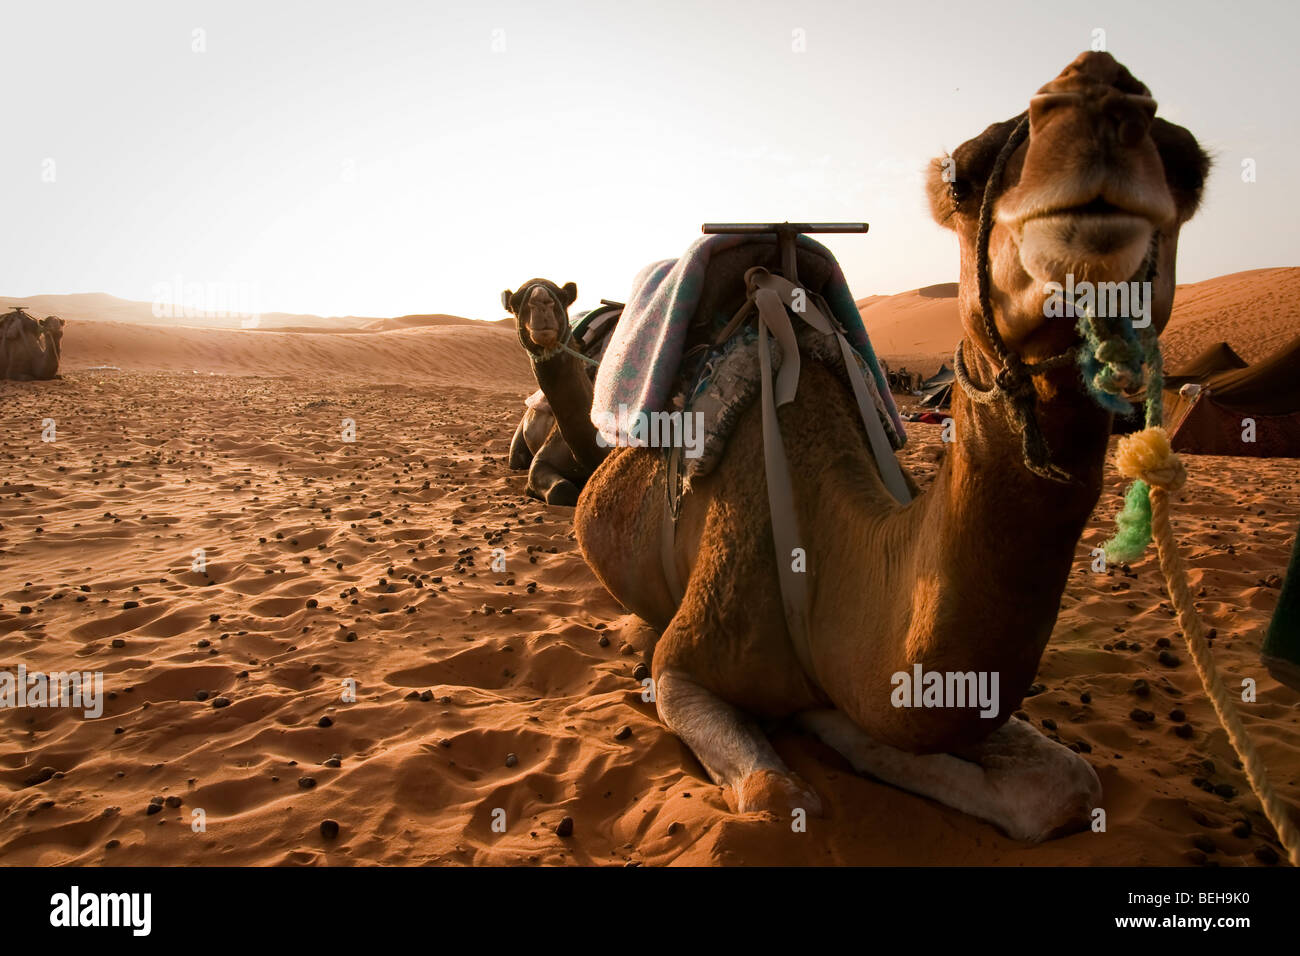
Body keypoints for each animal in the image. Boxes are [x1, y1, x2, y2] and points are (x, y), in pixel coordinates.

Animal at [569, 54, 1206, 842]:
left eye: (1189, 168)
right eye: (963, 176)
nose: (1098, 97)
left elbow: (1066, 784)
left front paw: (843, 728)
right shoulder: (685, 660)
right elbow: (779, 794)